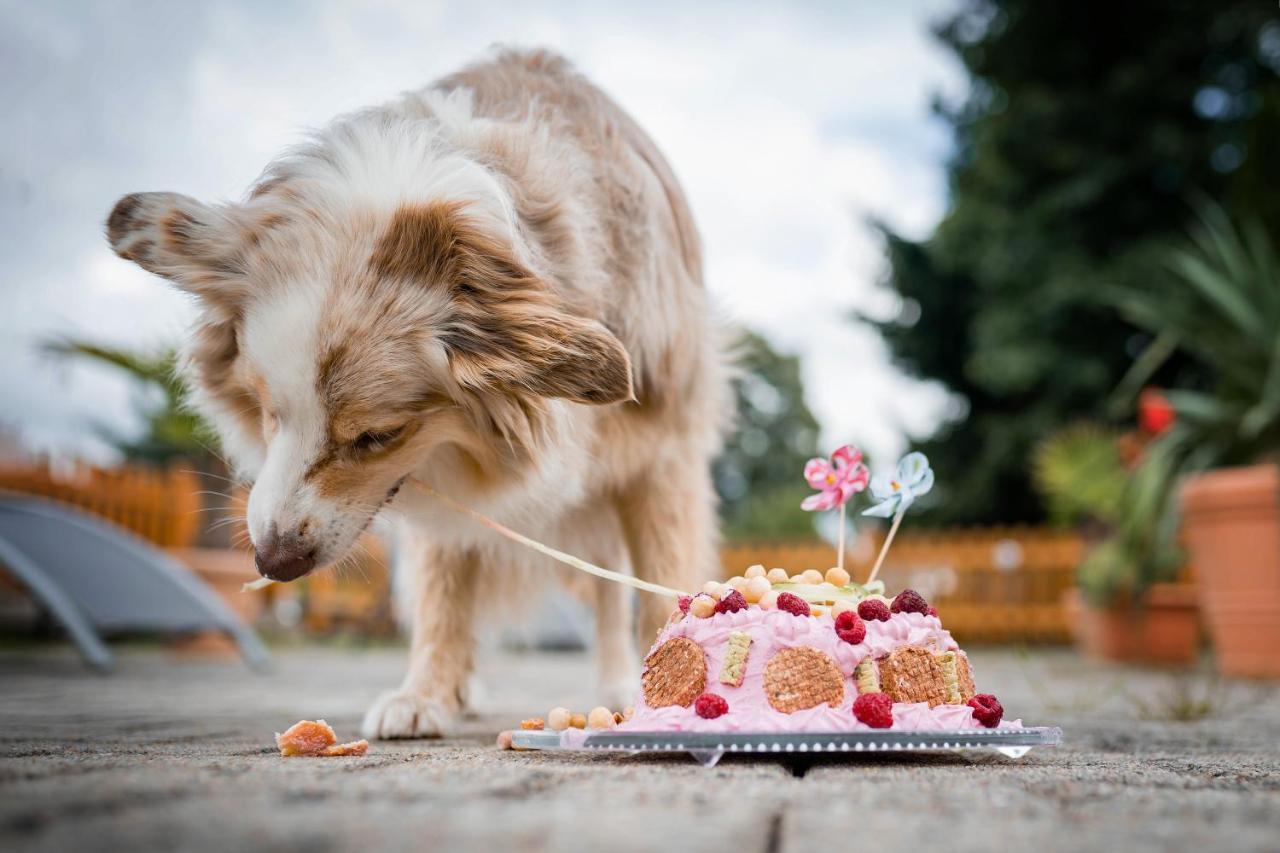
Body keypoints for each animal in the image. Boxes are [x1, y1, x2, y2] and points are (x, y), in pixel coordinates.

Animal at [107, 49, 732, 732]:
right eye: (270, 412)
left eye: (377, 435)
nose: (271, 565)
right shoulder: (435, 473)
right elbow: (443, 582)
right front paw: (427, 695)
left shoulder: (662, 451)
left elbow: (662, 574)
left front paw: (664, 692)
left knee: (609, 590)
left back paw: (619, 683)